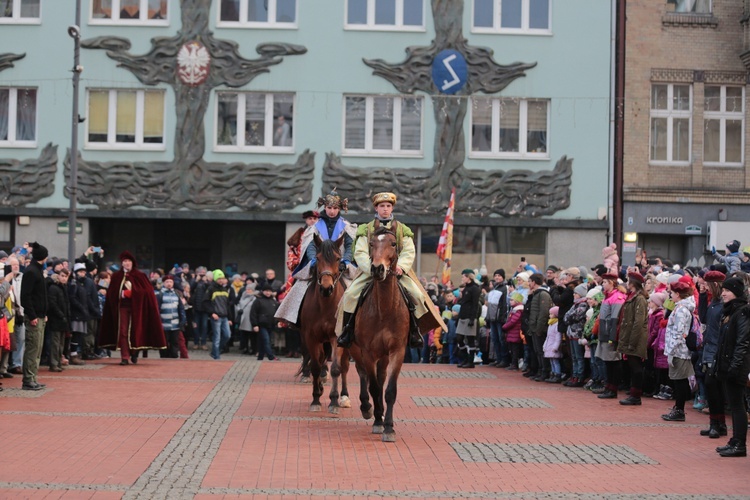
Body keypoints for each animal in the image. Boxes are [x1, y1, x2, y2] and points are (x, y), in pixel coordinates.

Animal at [298, 234, 352, 414]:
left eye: (337, 259)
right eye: (318, 258)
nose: (327, 288)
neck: (325, 305)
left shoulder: (336, 337)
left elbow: (336, 368)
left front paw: (334, 401)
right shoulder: (311, 337)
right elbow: (315, 366)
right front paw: (316, 398)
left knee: (344, 367)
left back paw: (344, 397)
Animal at [350, 221, 408, 444]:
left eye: (393, 243)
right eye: (372, 243)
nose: (377, 268)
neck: (384, 310)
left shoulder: (397, 350)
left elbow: (389, 390)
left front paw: (389, 427)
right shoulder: (367, 351)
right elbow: (374, 386)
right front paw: (377, 421)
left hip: (383, 356)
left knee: (381, 377)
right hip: (356, 350)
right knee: (363, 374)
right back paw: (368, 409)